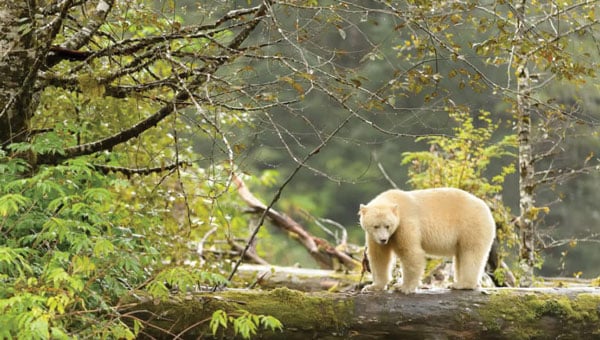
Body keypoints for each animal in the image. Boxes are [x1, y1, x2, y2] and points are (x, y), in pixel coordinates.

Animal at [358, 187, 494, 294]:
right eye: (375, 226)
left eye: (388, 225)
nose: (383, 239)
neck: (394, 200)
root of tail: (486, 209)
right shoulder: (373, 236)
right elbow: (379, 257)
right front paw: (372, 287)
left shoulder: (405, 224)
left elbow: (411, 253)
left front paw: (403, 287)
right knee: (461, 255)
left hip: (471, 225)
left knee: (470, 253)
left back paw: (462, 284)